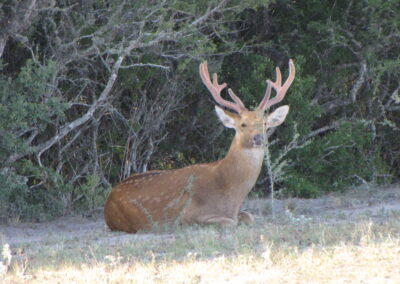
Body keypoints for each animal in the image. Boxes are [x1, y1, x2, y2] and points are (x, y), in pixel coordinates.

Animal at [104, 58, 296, 232]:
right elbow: (229, 222)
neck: (231, 195)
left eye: (264, 124)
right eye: (243, 124)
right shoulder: (187, 216)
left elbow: (249, 216)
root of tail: (108, 199)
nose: (258, 138)